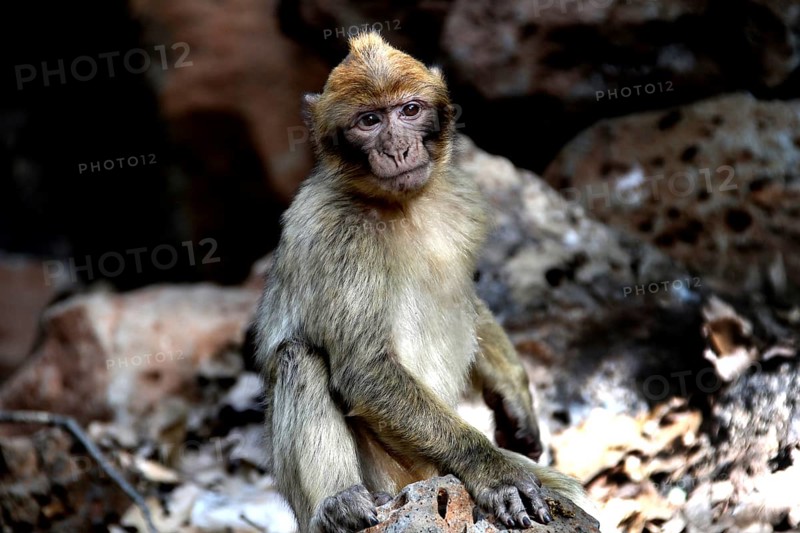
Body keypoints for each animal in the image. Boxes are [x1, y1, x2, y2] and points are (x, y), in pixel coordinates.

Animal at [253, 32, 589, 533]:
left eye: (409, 110)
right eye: (370, 120)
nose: (396, 148)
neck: (401, 205)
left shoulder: (462, 200)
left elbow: (469, 297)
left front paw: (513, 391)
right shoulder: (337, 235)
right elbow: (366, 369)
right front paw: (492, 469)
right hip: (397, 473)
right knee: (300, 357)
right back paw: (336, 503)